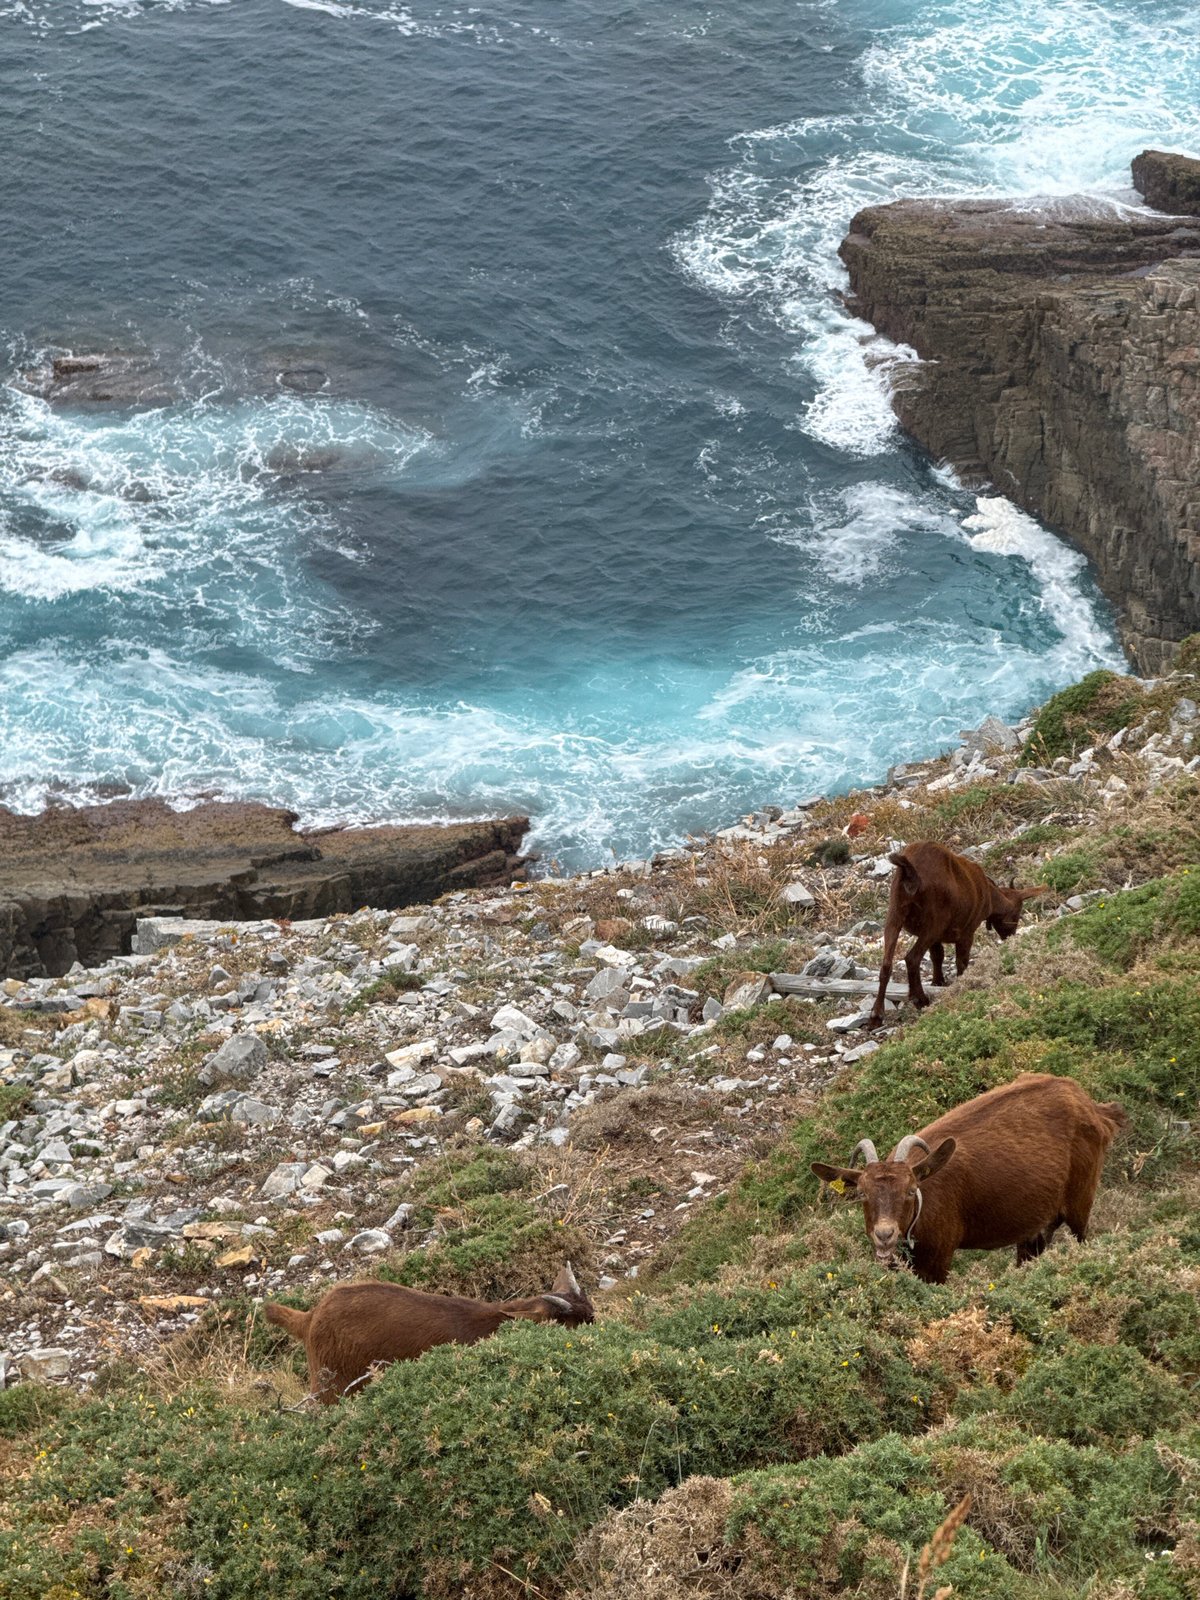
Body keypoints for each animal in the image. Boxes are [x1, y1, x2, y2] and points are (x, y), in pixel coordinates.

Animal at [811, 1073, 1126, 1284]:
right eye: (862, 1193)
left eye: (911, 1190)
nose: (885, 1234)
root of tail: (1094, 1109)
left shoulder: (938, 1257)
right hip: (1036, 1223)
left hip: (1081, 1200)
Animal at [869, 842, 1046, 1027]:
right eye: (1017, 914)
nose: (1010, 937)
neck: (988, 893)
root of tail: (909, 870)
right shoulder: (967, 932)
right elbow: (962, 961)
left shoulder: (937, 938)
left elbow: (937, 956)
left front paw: (938, 981)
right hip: (934, 921)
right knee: (912, 958)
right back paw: (920, 1000)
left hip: (895, 913)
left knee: (887, 964)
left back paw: (876, 1015)